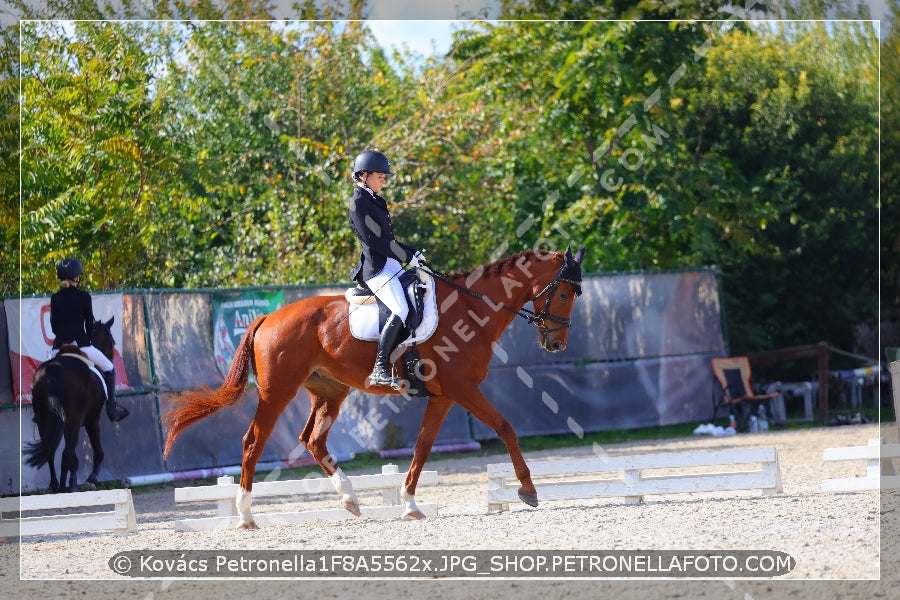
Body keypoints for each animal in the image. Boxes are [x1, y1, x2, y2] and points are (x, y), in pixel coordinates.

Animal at [24, 318, 116, 492]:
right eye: (112, 343)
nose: (112, 356)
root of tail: (53, 372)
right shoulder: (92, 420)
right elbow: (97, 452)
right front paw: (91, 479)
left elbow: (73, 458)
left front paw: (73, 483)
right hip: (73, 421)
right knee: (65, 454)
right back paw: (62, 488)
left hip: (44, 420)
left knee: (50, 452)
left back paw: (55, 486)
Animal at [165, 246, 588, 528]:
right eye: (565, 293)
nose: (557, 344)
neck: (471, 310)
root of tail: (267, 317)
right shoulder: (463, 389)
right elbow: (505, 427)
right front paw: (528, 490)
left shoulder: (444, 397)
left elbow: (422, 447)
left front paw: (410, 504)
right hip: (278, 392)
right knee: (253, 442)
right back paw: (245, 514)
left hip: (330, 391)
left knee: (312, 440)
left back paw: (350, 499)